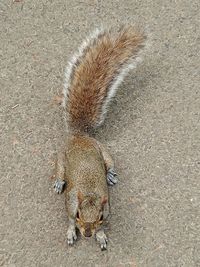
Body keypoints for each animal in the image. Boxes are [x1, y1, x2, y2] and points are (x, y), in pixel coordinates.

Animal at [53, 25, 147, 251]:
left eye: (100, 218)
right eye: (78, 213)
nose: (87, 234)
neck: (88, 193)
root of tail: (81, 136)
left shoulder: (108, 208)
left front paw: (101, 235)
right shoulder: (70, 203)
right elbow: (69, 220)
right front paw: (71, 232)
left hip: (102, 149)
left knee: (109, 161)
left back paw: (111, 173)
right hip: (61, 156)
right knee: (59, 169)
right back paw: (59, 182)